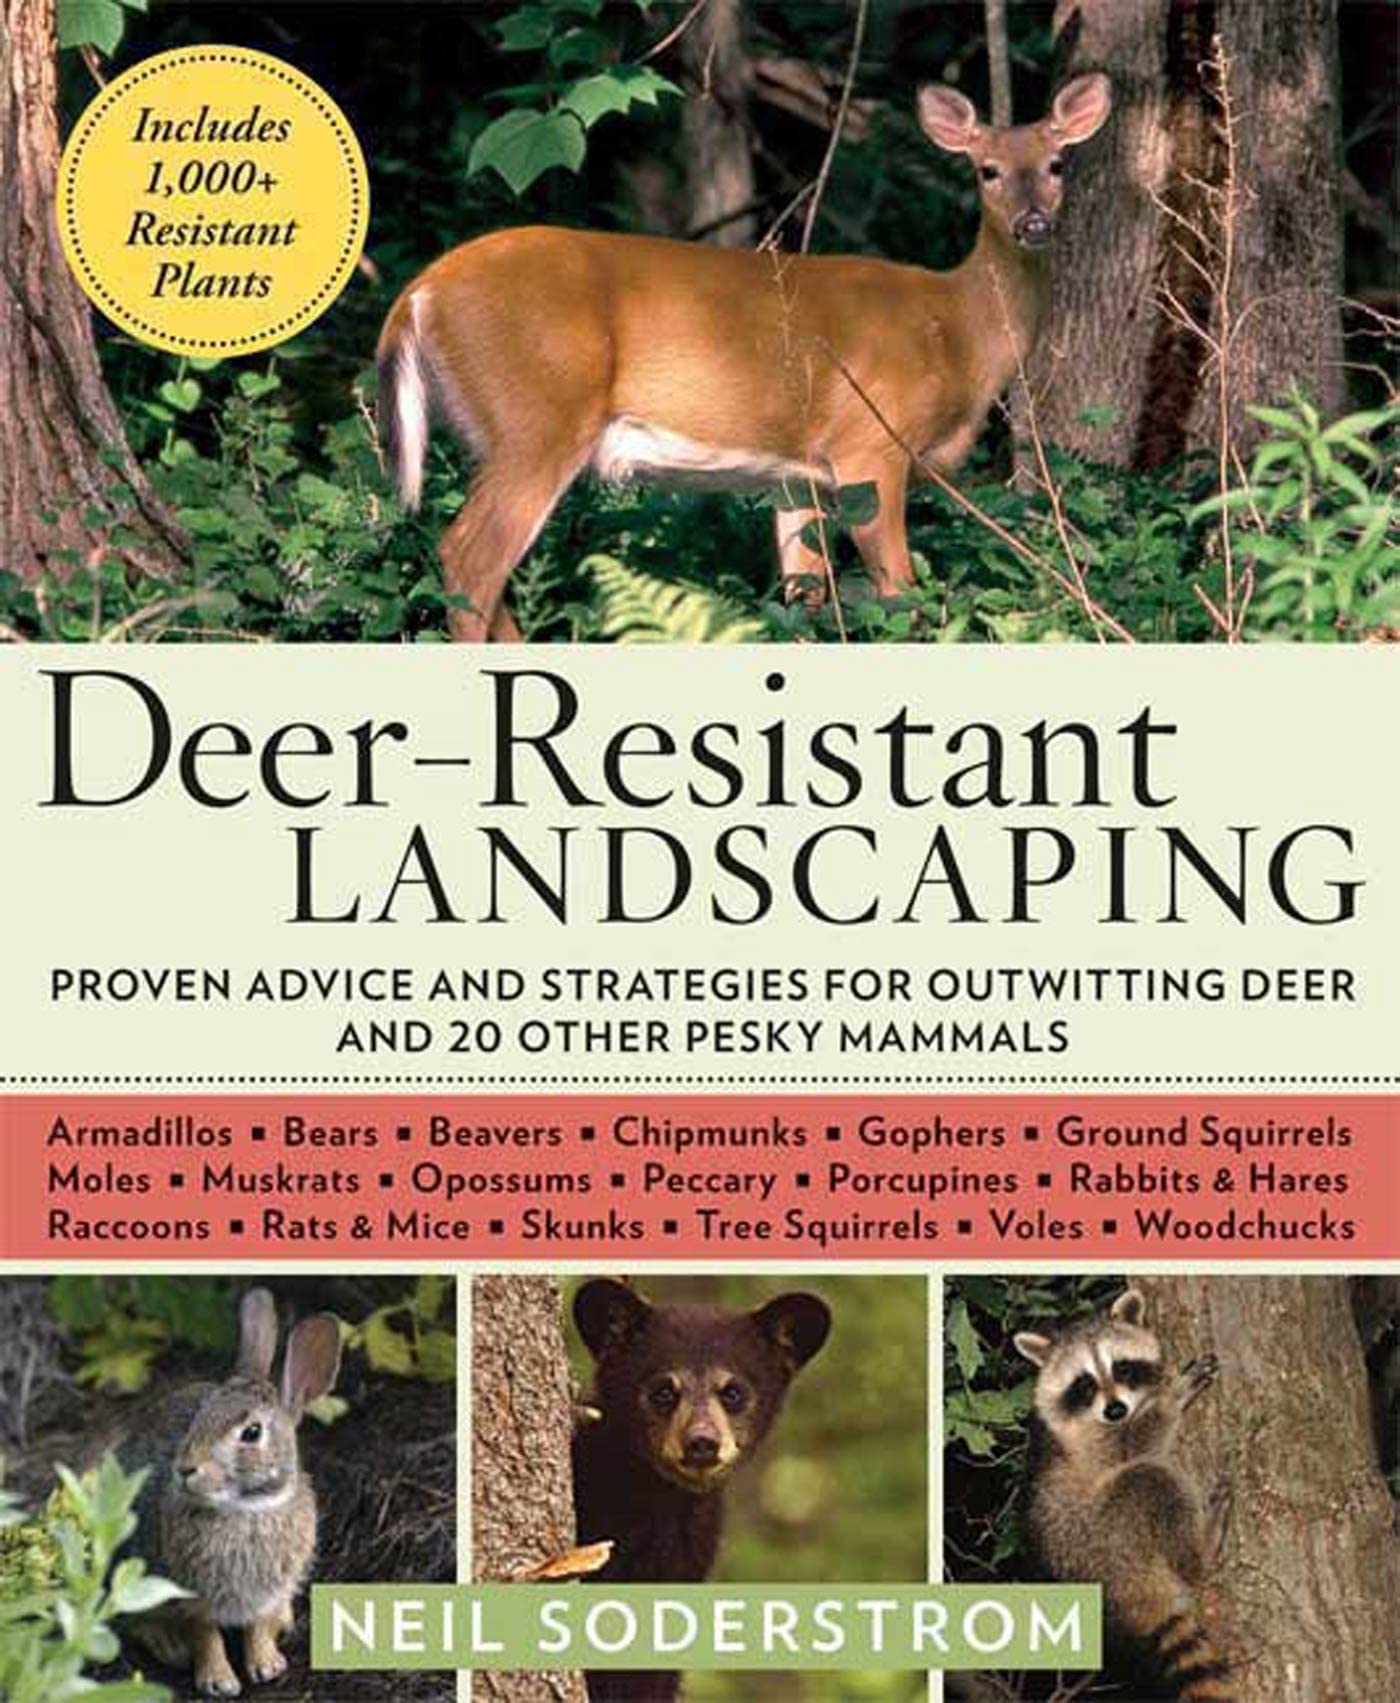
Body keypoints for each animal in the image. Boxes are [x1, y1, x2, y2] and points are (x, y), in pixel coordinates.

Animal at [376, 73, 1111, 641]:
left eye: (1056, 165)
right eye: (987, 171)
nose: (1034, 224)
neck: (954, 326)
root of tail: (418, 291)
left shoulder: (799, 477)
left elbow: (804, 599)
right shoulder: (870, 444)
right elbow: (901, 594)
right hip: (536, 418)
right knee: (469, 558)